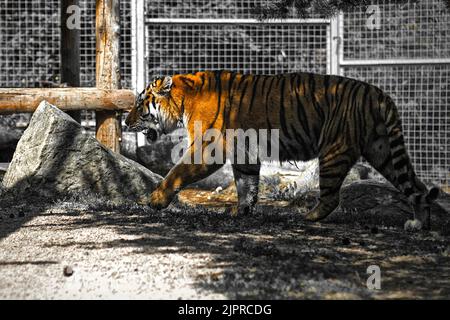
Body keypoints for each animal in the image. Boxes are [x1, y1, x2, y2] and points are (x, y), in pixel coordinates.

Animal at [125, 70, 440, 230]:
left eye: (140, 103)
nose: (126, 121)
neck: (181, 101)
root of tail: (379, 93)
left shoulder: (208, 147)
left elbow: (176, 172)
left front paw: (156, 200)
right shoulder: (244, 151)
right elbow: (246, 184)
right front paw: (242, 211)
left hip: (334, 150)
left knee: (331, 196)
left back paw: (308, 217)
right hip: (382, 150)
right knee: (416, 186)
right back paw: (419, 223)